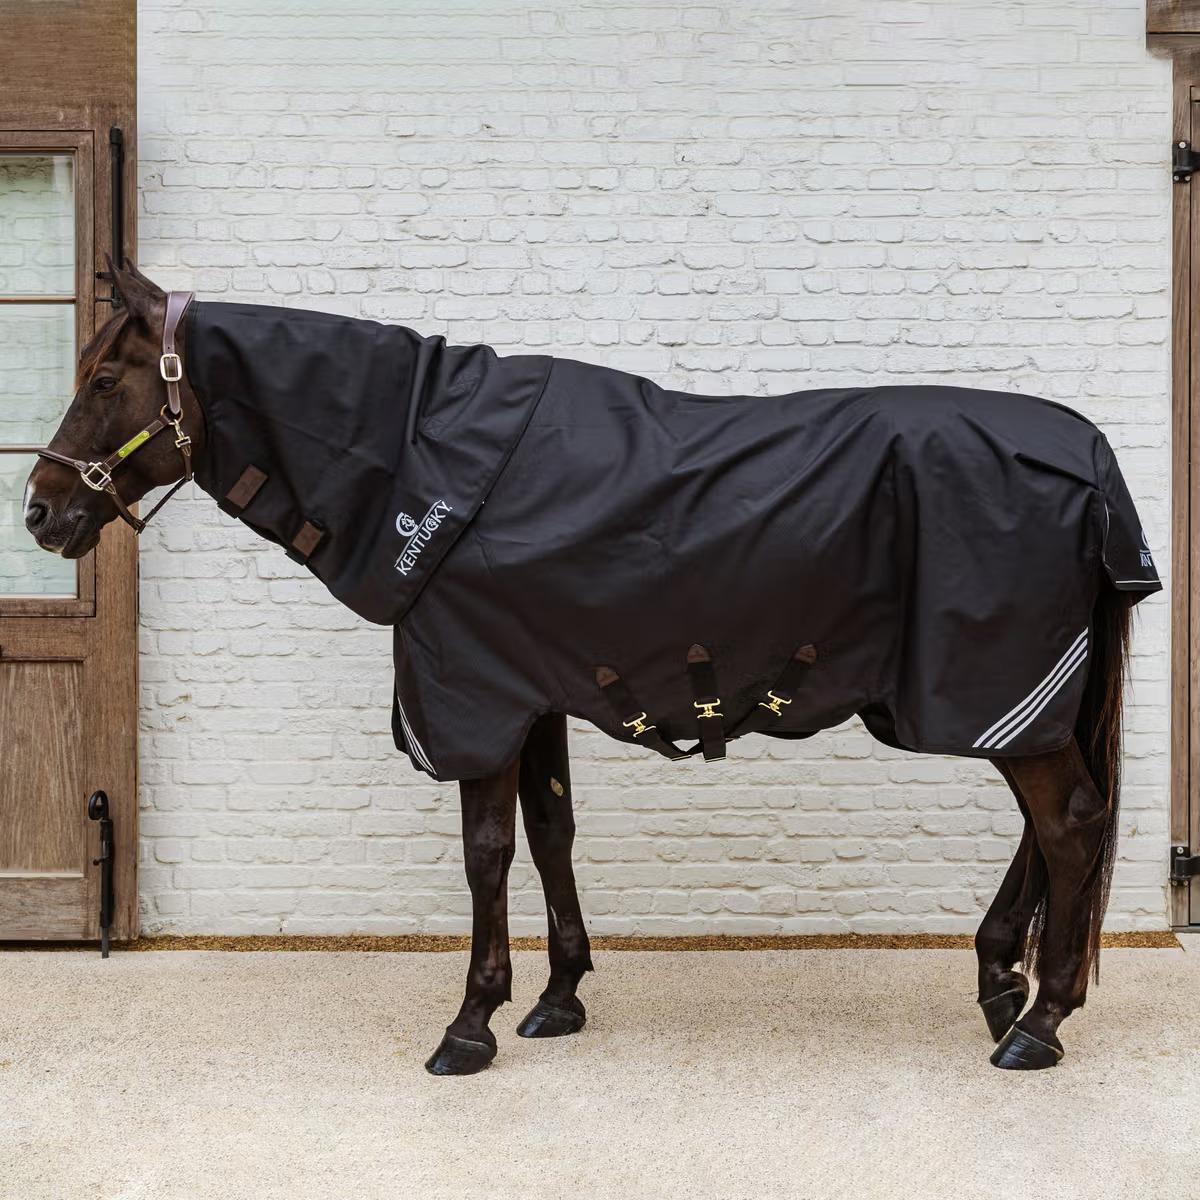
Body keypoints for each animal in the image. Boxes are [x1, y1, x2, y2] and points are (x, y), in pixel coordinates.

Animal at [25, 261, 1157, 1076]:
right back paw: (1003, 986)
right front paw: (557, 996)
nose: (40, 511)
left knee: (1069, 823)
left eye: (104, 380)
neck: (422, 460)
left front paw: (470, 1023)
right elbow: (549, 833)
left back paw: (1040, 1023)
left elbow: (486, 852)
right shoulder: (531, 691)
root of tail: (1092, 462)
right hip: (1019, 704)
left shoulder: (474, 697)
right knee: (1052, 825)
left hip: (992, 685)